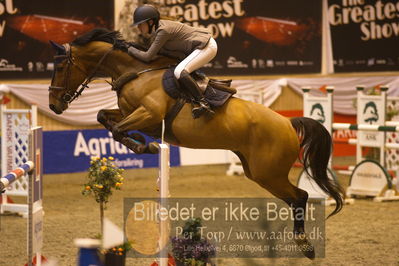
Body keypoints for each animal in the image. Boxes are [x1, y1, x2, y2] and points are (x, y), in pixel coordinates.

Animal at [49, 28, 344, 258]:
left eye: (61, 67)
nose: (54, 105)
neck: (135, 71)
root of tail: (288, 123)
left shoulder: (149, 114)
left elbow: (119, 129)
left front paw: (146, 146)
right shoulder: (132, 114)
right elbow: (105, 118)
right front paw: (141, 143)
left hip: (268, 173)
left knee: (300, 196)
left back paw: (305, 246)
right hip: (258, 172)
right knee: (294, 198)